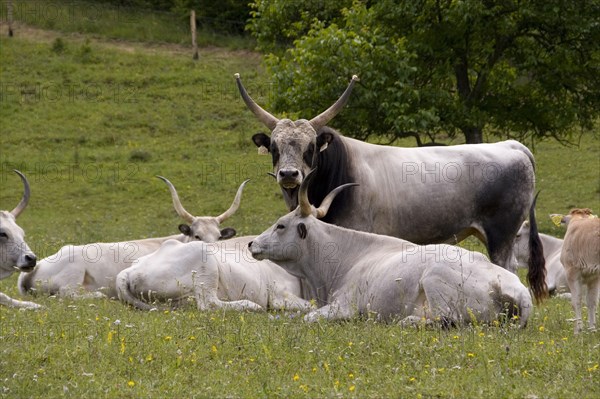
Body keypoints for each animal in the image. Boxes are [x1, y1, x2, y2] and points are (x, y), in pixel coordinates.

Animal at [248, 170, 536, 328]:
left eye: (281, 225)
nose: (251, 243)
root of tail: (513, 288)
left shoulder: (342, 307)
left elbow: (306, 318)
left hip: (435, 281)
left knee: (446, 320)